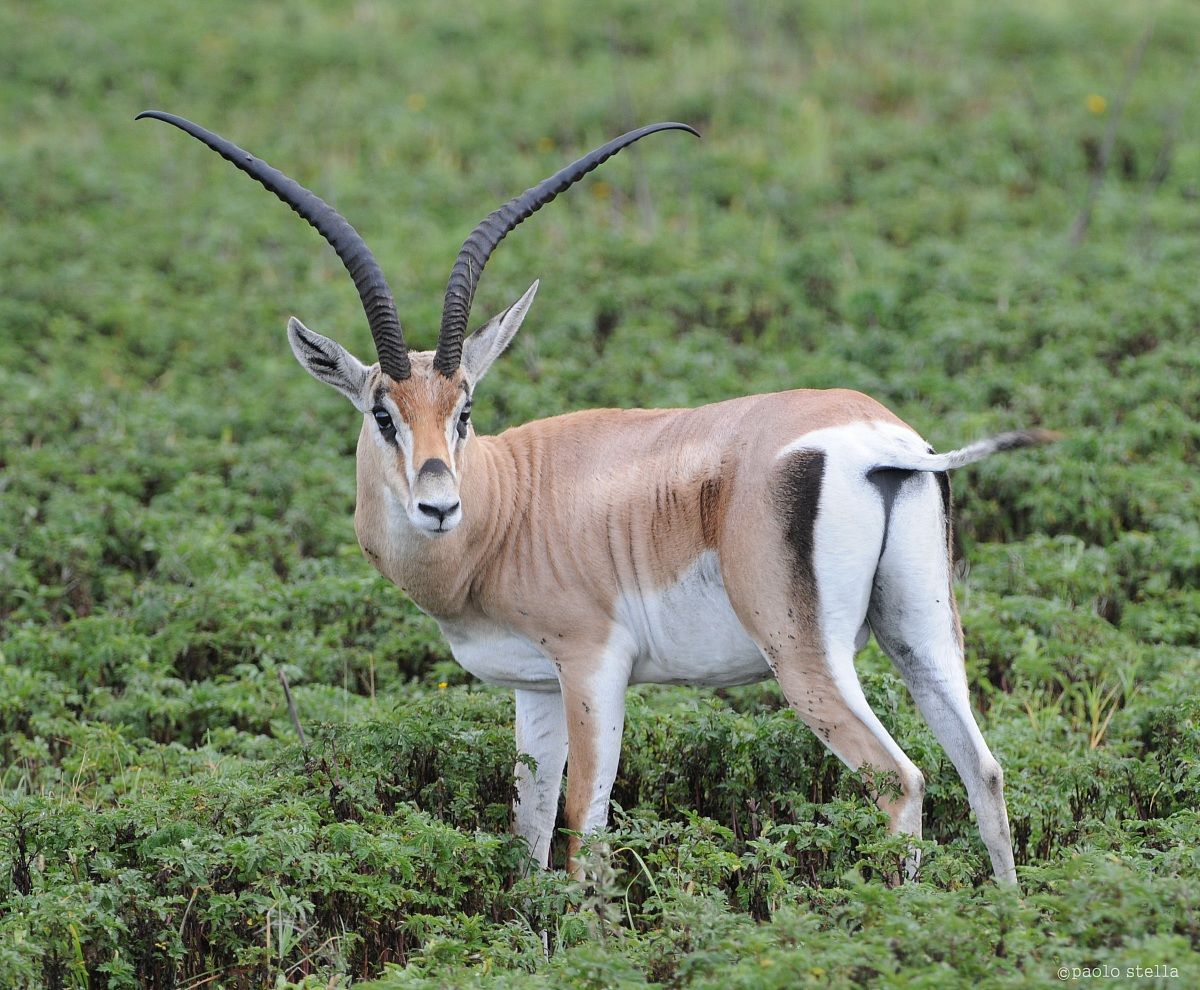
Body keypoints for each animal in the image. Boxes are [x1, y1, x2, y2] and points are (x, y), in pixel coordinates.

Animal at [139, 110, 1049, 885]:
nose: (438, 505)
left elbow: (585, 826)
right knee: (984, 770)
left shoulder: (592, 666)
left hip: (806, 657)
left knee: (901, 781)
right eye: (382, 413)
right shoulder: (534, 687)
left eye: (464, 407)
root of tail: (880, 444)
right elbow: (527, 826)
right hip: (921, 633)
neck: (510, 508)